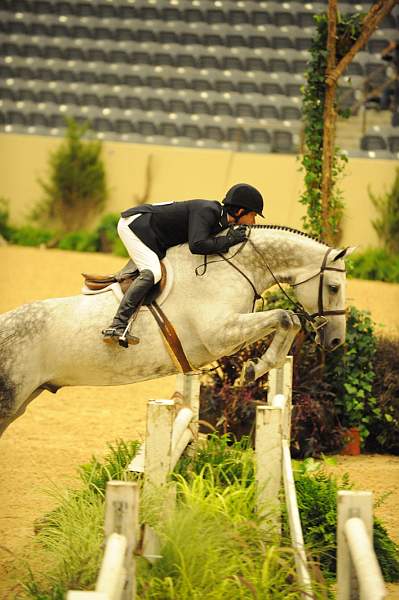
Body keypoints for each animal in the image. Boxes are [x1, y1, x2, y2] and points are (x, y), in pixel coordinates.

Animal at [0, 225, 354, 436]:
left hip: (22, 400)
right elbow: (284, 316)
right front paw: (256, 368)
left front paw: (259, 367)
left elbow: (289, 320)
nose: (336, 340)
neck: (233, 268)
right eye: (334, 287)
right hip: (9, 399)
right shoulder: (220, 334)